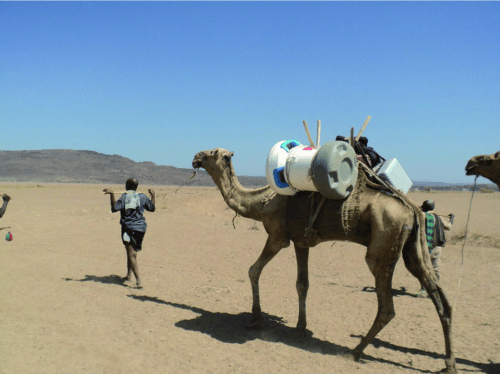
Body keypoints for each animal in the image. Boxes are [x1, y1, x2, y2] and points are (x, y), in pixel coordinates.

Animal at [193, 148, 458, 372]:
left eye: (212, 152)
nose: (195, 157)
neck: (262, 202)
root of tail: (412, 209)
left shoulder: (278, 237)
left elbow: (253, 270)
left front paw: (255, 318)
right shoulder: (301, 241)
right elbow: (302, 284)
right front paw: (300, 326)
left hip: (383, 244)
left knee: (387, 308)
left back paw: (354, 351)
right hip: (413, 249)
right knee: (440, 298)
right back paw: (449, 363)